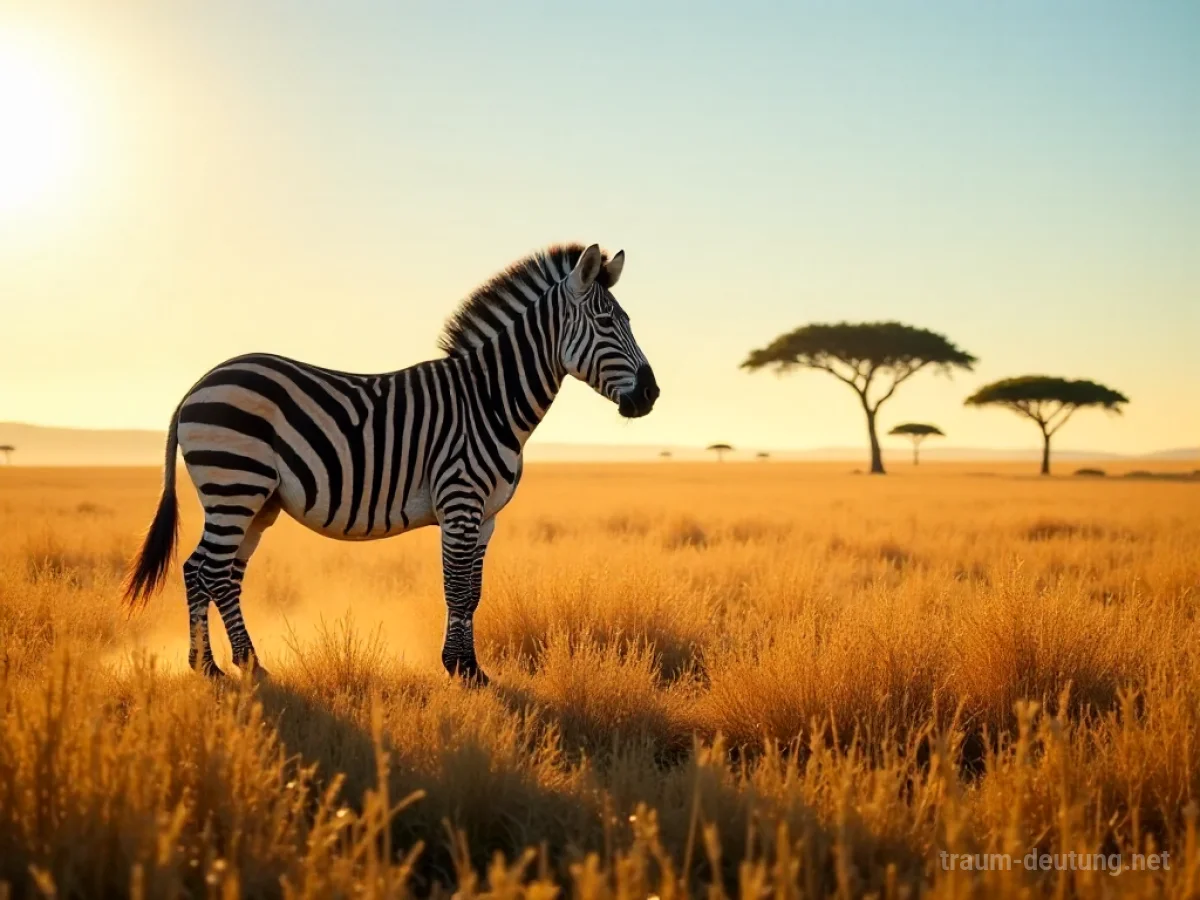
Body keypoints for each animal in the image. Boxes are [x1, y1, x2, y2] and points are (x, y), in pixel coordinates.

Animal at [122, 243, 659, 685]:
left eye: (630, 321)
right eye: (607, 323)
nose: (651, 395)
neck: (489, 401)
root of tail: (200, 383)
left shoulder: (486, 516)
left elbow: (473, 592)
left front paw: (472, 668)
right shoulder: (460, 502)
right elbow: (456, 589)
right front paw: (461, 671)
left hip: (257, 501)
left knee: (212, 572)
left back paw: (229, 664)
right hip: (234, 484)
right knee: (208, 570)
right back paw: (226, 668)